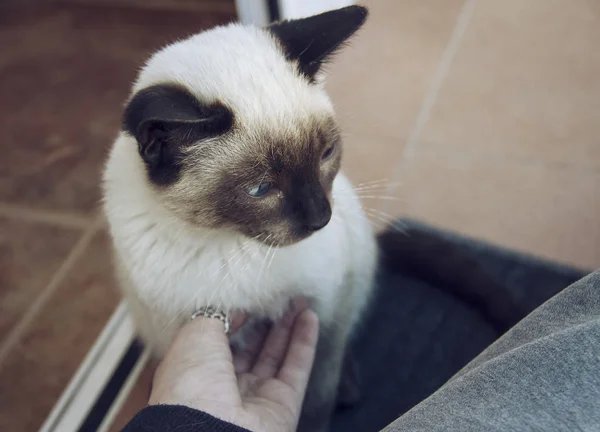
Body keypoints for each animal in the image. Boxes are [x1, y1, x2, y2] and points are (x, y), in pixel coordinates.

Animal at [103, 5, 376, 430]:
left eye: (326, 154)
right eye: (260, 189)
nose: (321, 219)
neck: (236, 246)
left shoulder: (325, 310)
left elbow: (318, 394)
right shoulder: (177, 326)